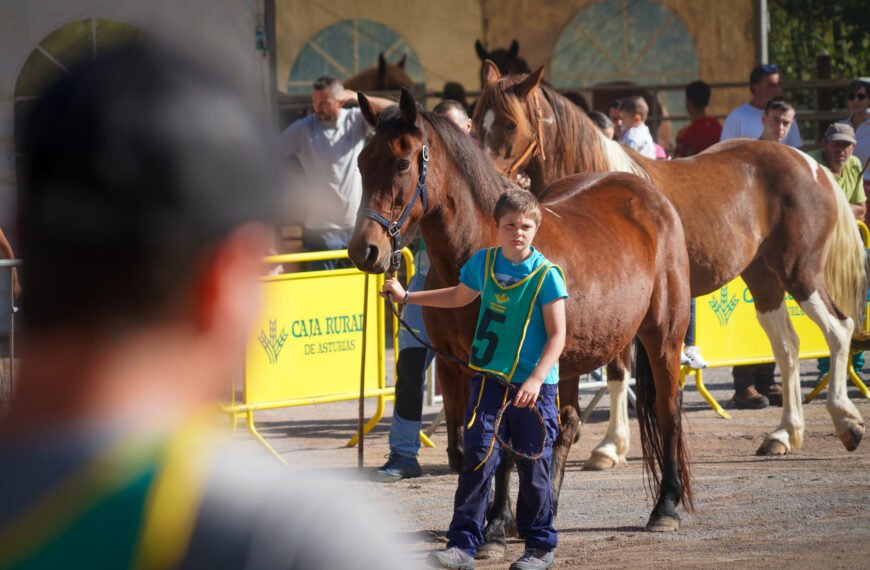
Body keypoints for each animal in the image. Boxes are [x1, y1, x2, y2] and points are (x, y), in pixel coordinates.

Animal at [349, 87, 694, 549]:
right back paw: (543, 510)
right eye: (361, 162)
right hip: (569, 359)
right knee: (565, 424)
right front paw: (483, 523)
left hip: (663, 337)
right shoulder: (453, 368)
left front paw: (494, 526)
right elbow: (467, 447)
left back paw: (666, 507)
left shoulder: (508, 368)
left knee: (667, 409)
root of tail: (649, 194)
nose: (364, 250)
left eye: (402, 162)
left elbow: (504, 447)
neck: (480, 253)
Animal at [472, 61, 868, 469]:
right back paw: (784, 434)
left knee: (838, 329)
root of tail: (812, 165)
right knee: (788, 346)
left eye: (510, 123)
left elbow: (619, 371)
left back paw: (846, 422)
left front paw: (609, 446)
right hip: (763, 277)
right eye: (474, 120)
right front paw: (606, 444)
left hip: (799, 270)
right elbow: (616, 372)